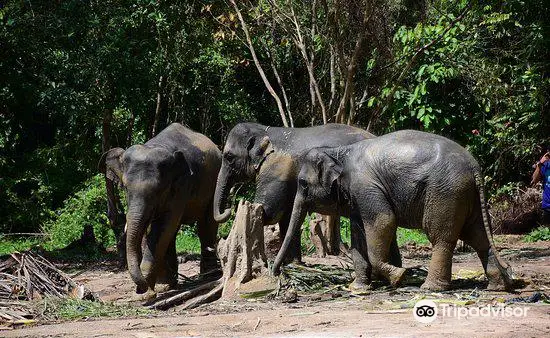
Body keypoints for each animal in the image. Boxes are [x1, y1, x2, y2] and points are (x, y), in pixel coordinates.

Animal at [100, 123, 221, 298]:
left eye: (158, 190)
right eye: (125, 188)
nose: (140, 288)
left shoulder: (181, 186)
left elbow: (162, 227)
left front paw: (146, 293)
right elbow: (154, 229)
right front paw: (158, 288)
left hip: (215, 182)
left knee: (206, 225)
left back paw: (208, 277)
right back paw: (169, 283)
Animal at [213, 121, 404, 266]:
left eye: (228, 157)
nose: (229, 207)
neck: (264, 129)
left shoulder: (276, 171)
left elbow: (269, 212)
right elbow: (287, 215)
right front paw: (293, 263)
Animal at [276, 128, 516, 292]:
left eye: (303, 184)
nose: (277, 273)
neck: (338, 152)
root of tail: (474, 167)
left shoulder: (366, 186)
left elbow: (384, 221)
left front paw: (399, 276)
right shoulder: (357, 196)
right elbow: (359, 235)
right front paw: (358, 288)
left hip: (446, 193)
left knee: (441, 238)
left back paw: (430, 288)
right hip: (468, 197)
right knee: (479, 236)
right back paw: (497, 287)